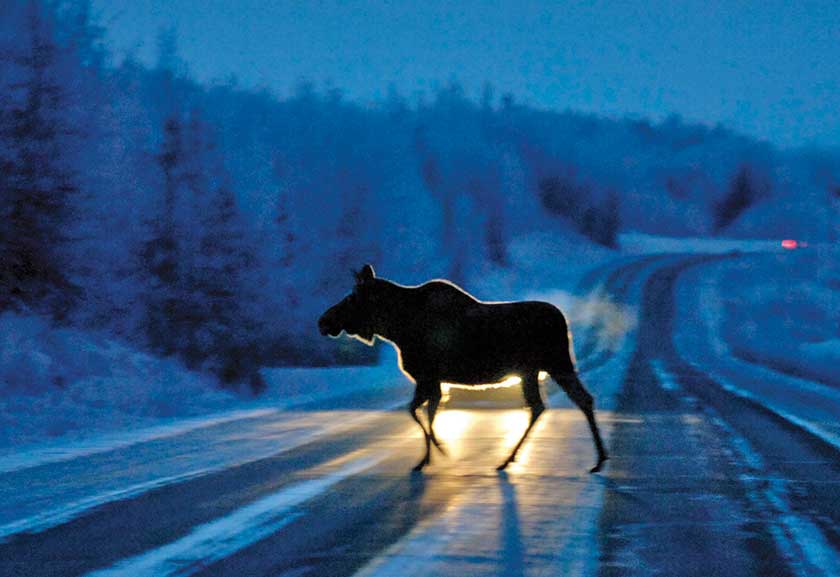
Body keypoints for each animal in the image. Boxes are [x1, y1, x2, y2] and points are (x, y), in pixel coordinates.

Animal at [318, 266, 608, 472]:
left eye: (352, 297)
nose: (323, 321)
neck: (395, 328)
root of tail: (563, 321)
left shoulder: (426, 377)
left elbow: (417, 412)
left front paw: (439, 452)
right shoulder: (434, 382)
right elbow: (428, 413)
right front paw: (429, 457)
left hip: (554, 364)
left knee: (560, 403)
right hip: (539, 370)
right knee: (565, 402)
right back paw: (595, 458)